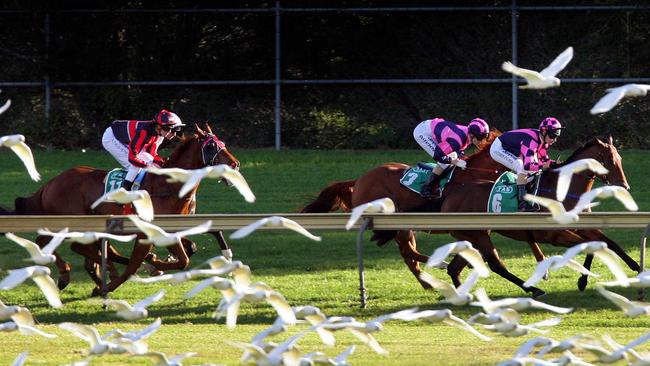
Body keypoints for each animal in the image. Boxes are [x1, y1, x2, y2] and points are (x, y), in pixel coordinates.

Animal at [6, 123, 240, 294]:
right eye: (211, 147)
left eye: (223, 143)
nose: (235, 164)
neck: (169, 186)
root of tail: (51, 183)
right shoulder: (149, 232)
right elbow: (152, 263)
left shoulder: (175, 227)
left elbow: (189, 250)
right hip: (71, 221)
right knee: (63, 244)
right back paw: (70, 275)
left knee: (71, 246)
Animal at [440, 136, 636, 296]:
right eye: (610, 160)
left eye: (620, 159)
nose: (624, 186)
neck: (563, 191)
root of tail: (451, 194)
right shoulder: (553, 235)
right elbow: (589, 246)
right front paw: (582, 280)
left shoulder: (581, 227)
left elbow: (607, 243)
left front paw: (635, 266)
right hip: (477, 236)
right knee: (496, 265)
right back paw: (534, 290)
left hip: (473, 236)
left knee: (454, 268)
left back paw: (462, 296)